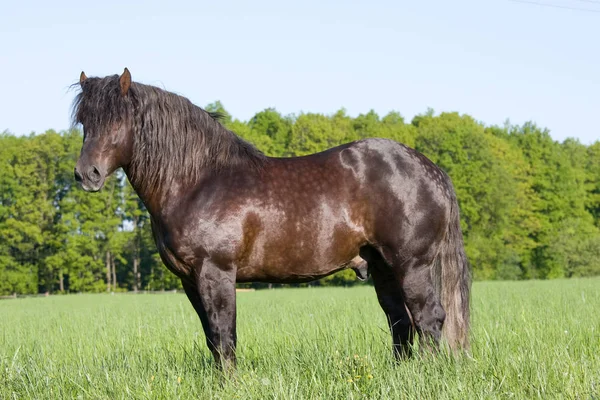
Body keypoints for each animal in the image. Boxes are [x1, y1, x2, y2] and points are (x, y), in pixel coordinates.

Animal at [72, 68, 472, 368]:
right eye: (84, 121)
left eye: (118, 121)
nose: (86, 174)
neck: (199, 181)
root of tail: (431, 170)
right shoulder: (189, 280)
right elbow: (211, 338)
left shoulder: (216, 272)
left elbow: (224, 334)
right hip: (383, 267)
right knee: (400, 322)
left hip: (411, 265)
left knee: (428, 318)